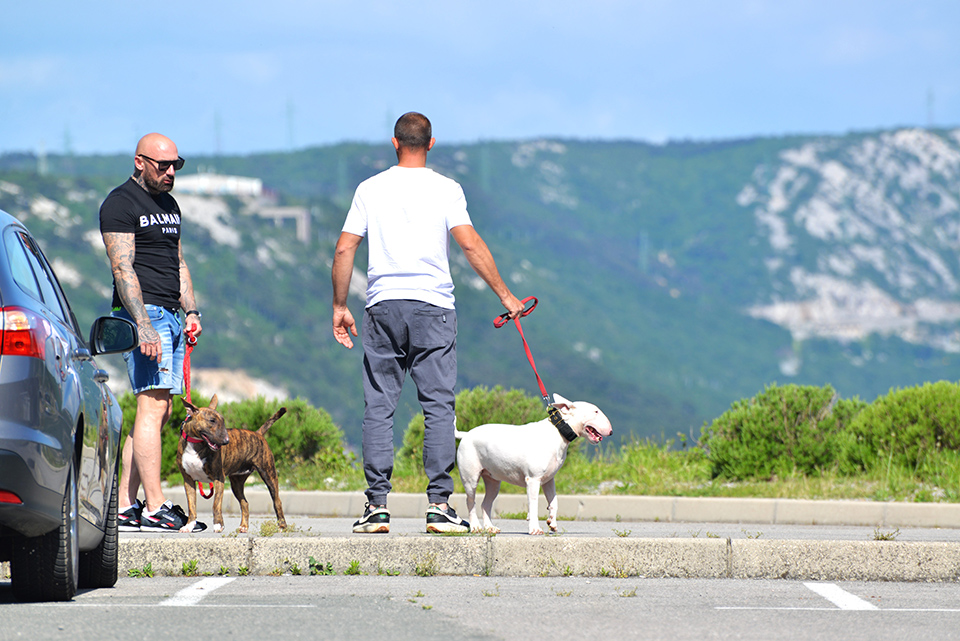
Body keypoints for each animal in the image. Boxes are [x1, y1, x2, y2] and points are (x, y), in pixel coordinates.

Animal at [176, 395, 288, 534]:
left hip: (268, 473)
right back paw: (243, 526)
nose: (226, 441)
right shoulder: (188, 480)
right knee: (244, 503)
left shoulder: (218, 478)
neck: (195, 444)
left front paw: (218, 525)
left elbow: (216, 504)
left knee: (277, 501)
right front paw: (189, 526)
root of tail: (258, 433)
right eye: (212, 420)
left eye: (223, 421)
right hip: (237, 482)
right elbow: (191, 505)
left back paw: (282, 526)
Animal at [455, 393, 613, 535]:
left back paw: (490, 528)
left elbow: (554, 502)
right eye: (596, 411)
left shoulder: (549, 480)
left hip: (493, 480)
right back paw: (475, 527)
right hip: (470, 478)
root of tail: (466, 434)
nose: (611, 431)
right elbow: (534, 504)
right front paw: (535, 529)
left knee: (485, 503)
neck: (558, 432)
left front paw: (552, 523)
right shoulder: (533, 479)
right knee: (470, 501)